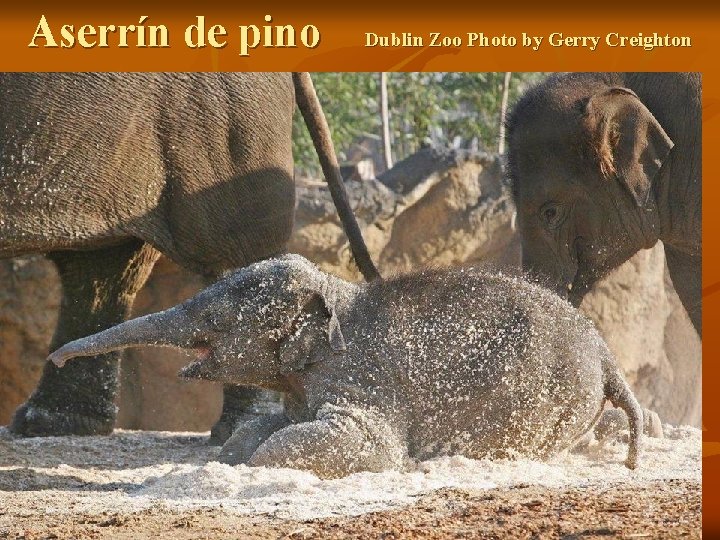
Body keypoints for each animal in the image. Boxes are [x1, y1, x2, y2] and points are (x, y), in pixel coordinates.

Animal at [52, 253, 648, 476]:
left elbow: (369, 447)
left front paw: (256, 468)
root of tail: (609, 358)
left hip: (552, 407)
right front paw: (232, 460)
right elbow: (261, 427)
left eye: (217, 315)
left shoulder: (363, 377)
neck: (336, 292)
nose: (54, 358)